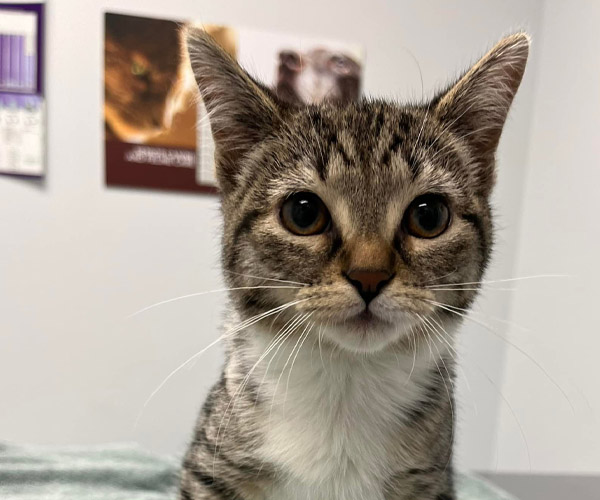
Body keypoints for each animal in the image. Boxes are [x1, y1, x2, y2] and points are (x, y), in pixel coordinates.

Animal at [180, 28, 528, 500]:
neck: (346, 384)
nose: (369, 275)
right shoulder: (211, 468)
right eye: (303, 213)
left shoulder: (431, 479)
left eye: (429, 216)